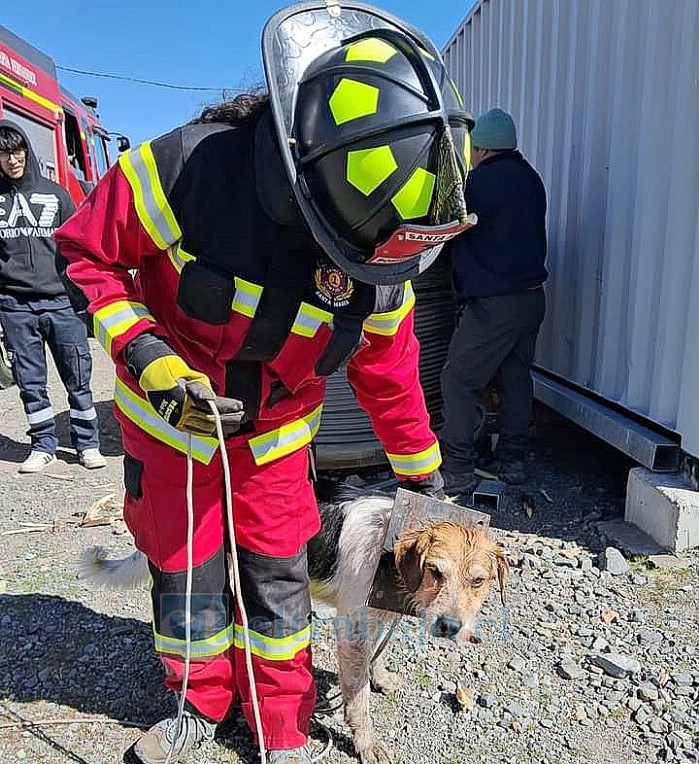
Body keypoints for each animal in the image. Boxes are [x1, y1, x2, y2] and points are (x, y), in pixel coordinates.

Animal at [83, 484, 508, 764]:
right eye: (436, 571)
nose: (450, 626)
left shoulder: (378, 616)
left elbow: (378, 654)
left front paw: (381, 676)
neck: (389, 550)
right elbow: (358, 699)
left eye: (478, 581)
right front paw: (366, 743)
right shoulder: (352, 629)